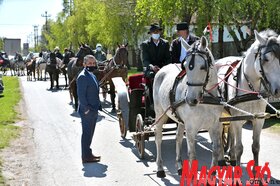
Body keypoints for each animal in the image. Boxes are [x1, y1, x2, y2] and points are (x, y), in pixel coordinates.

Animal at [152, 36, 224, 177]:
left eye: (203, 67)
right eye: (185, 66)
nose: (191, 100)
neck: (205, 100)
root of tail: (161, 69)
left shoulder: (215, 127)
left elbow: (215, 150)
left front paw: (213, 173)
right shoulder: (191, 129)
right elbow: (192, 155)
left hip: (180, 120)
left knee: (178, 138)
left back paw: (179, 166)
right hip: (160, 114)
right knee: (158, 138)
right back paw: (160, 168)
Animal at [218, 29, 280, 167]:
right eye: (265, 59)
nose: (278, 90)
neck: (250, 89)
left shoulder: (259, 120)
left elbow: (255, 147)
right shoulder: (238, 119)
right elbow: (239, 148)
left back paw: (231, 155)